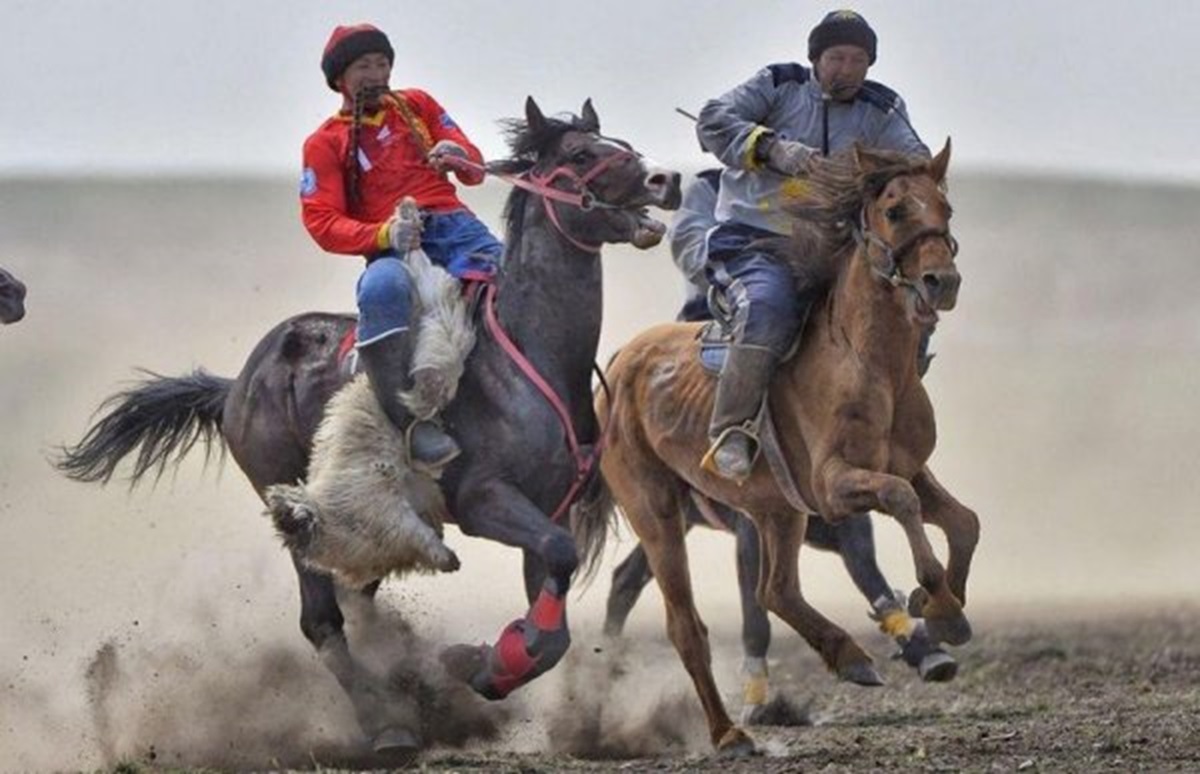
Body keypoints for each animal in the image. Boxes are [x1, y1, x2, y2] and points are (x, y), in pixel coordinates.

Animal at [576, 141, 979, 753]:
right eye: (895, 210)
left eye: (946, 209)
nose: (942, 282)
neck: (867, 364)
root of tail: (621, 363)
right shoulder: (835, 484)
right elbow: (901, 501)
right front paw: (934, 596)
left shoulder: (909, 469)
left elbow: (963, 521)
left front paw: (946, 611)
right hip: (658, 511)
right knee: (686, 624)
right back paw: (727, 732)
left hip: (775, 512)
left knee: (776, 589)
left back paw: (849, 655)